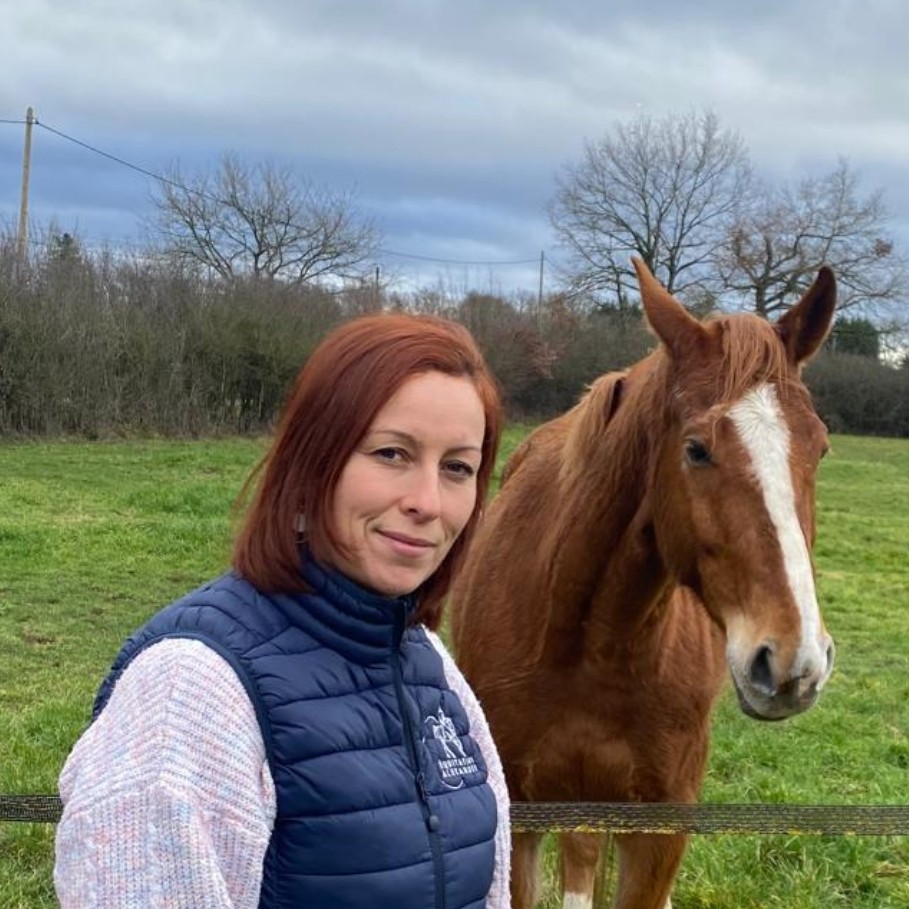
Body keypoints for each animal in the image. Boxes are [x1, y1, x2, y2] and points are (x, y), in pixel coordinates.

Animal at [450, 258, 837, 909]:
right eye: (697, 449)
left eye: (821, 447)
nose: (795, 662)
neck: (589, 644)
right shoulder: (521, 815)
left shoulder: (660, 828)